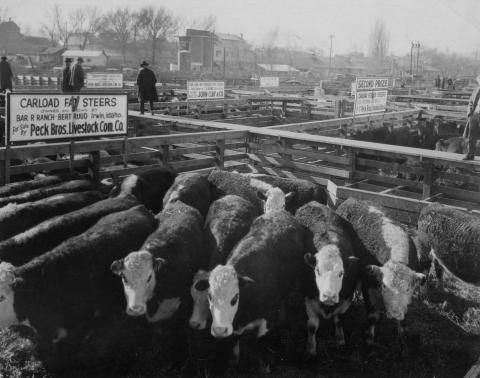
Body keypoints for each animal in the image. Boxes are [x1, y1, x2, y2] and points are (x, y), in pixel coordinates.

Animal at [294, 202, 362, 356]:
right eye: (317, 270)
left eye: (341, 273)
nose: (329, 296)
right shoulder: (308, 299)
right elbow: (312, 326)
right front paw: (311, 348)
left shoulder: (346, 300)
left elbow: (339, 320)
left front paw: (340, 339)